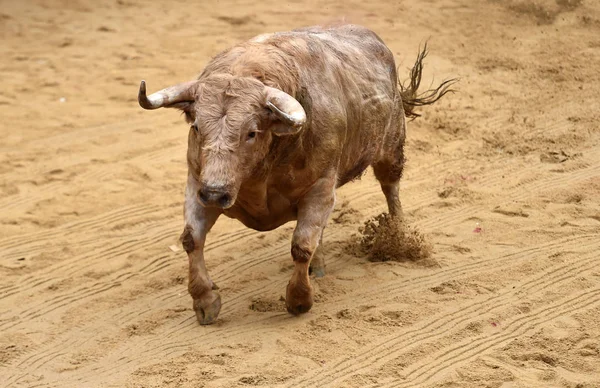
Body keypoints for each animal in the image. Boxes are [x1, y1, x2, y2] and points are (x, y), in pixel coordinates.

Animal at [137, 24, 454, 324]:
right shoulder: (197, 183)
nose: (215, 193)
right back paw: (320, 264)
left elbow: (301, 245)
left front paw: (299, 300)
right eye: (196, 127)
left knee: (391, 189)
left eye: (251, 132)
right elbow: (191, 239)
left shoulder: (321, 187)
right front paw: (205, 302)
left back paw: (399, 236)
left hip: (391, 149)